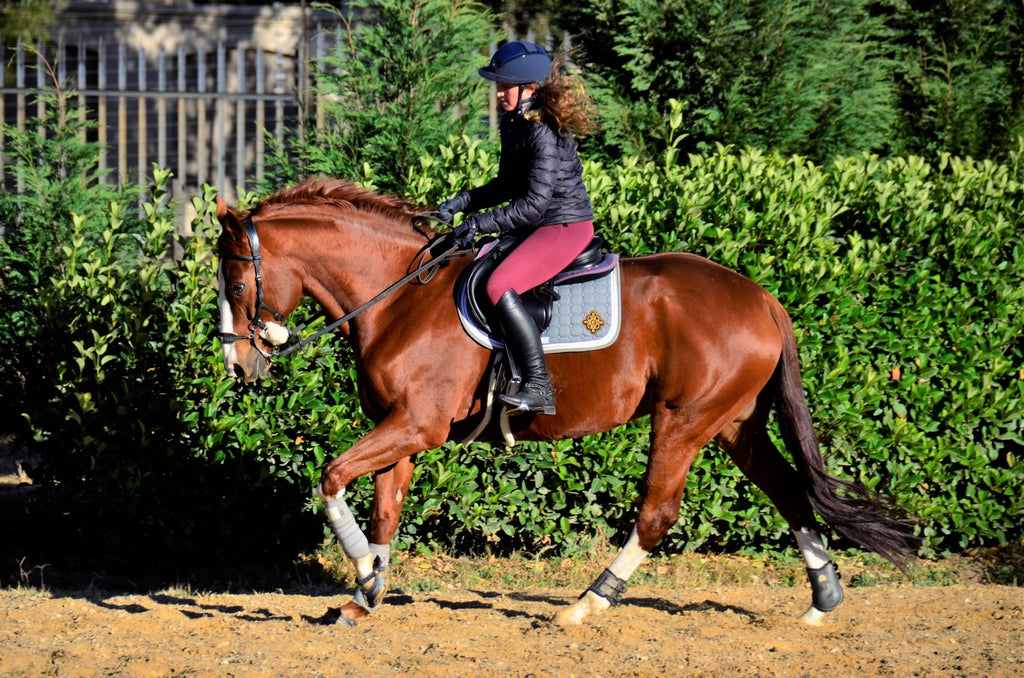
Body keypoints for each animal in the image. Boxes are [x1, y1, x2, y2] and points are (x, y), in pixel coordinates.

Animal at [216, 178, 921, 630]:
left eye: (235, 281)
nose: (238, 367)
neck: (399, 295)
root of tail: (762, 297)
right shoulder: (398, 429)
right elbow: (385, 510)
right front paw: (365, 595)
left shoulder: (416, 425)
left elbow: (331, 477)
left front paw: (364, 572)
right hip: (735, 425)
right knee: (788, 490)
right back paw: (823, 598)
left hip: (684, 421)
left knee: (657, 515)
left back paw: (586, 604)